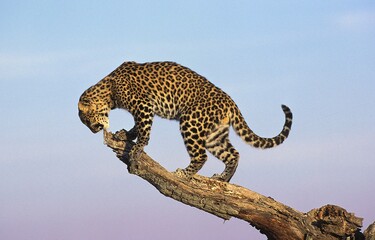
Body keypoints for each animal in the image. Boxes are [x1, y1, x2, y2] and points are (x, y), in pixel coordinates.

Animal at [78, 61, 292, 182]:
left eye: (87, 121)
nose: (94, 131)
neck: (108, 92)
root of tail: (231, 102)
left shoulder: (143, 106)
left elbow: (143, 130)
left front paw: (136, 150)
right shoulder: (144, 109)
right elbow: (137, 127)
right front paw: (125, 135)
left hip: (191, 122)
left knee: (201, 156)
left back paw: (184, 174)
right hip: (214, 134)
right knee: (233, 154)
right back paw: (223, 179)